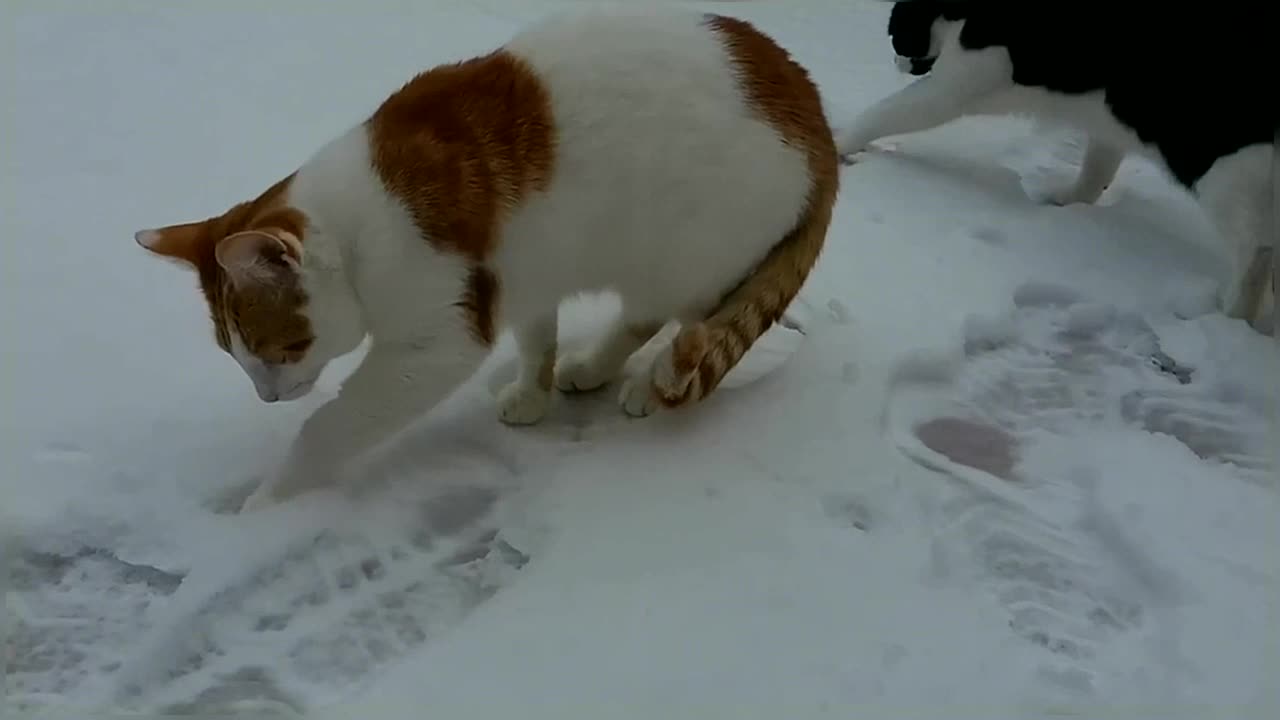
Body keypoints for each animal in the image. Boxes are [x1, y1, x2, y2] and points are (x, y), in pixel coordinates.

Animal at [132, 7, 839, 509]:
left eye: (279, 349)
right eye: (234, 354)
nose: (266, 397)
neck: (358, 226)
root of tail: (812, 107)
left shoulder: (435, 342)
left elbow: (329, 428)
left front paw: (264, 508)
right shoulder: (526, 270)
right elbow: (536, 336)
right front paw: (533, 391)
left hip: (685, 254)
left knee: (678, 319)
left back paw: (643, 379)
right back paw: (591, 368)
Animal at [839, 0, 1280, 330]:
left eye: (897, 32)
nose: (897, 60)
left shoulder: (957, 82)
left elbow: (886, 112)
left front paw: (841, 140)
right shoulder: (1108, 120)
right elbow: (1097, 168)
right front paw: (1068, 204)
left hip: (1228, 173)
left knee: (1253, 257)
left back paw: (1226, 316)